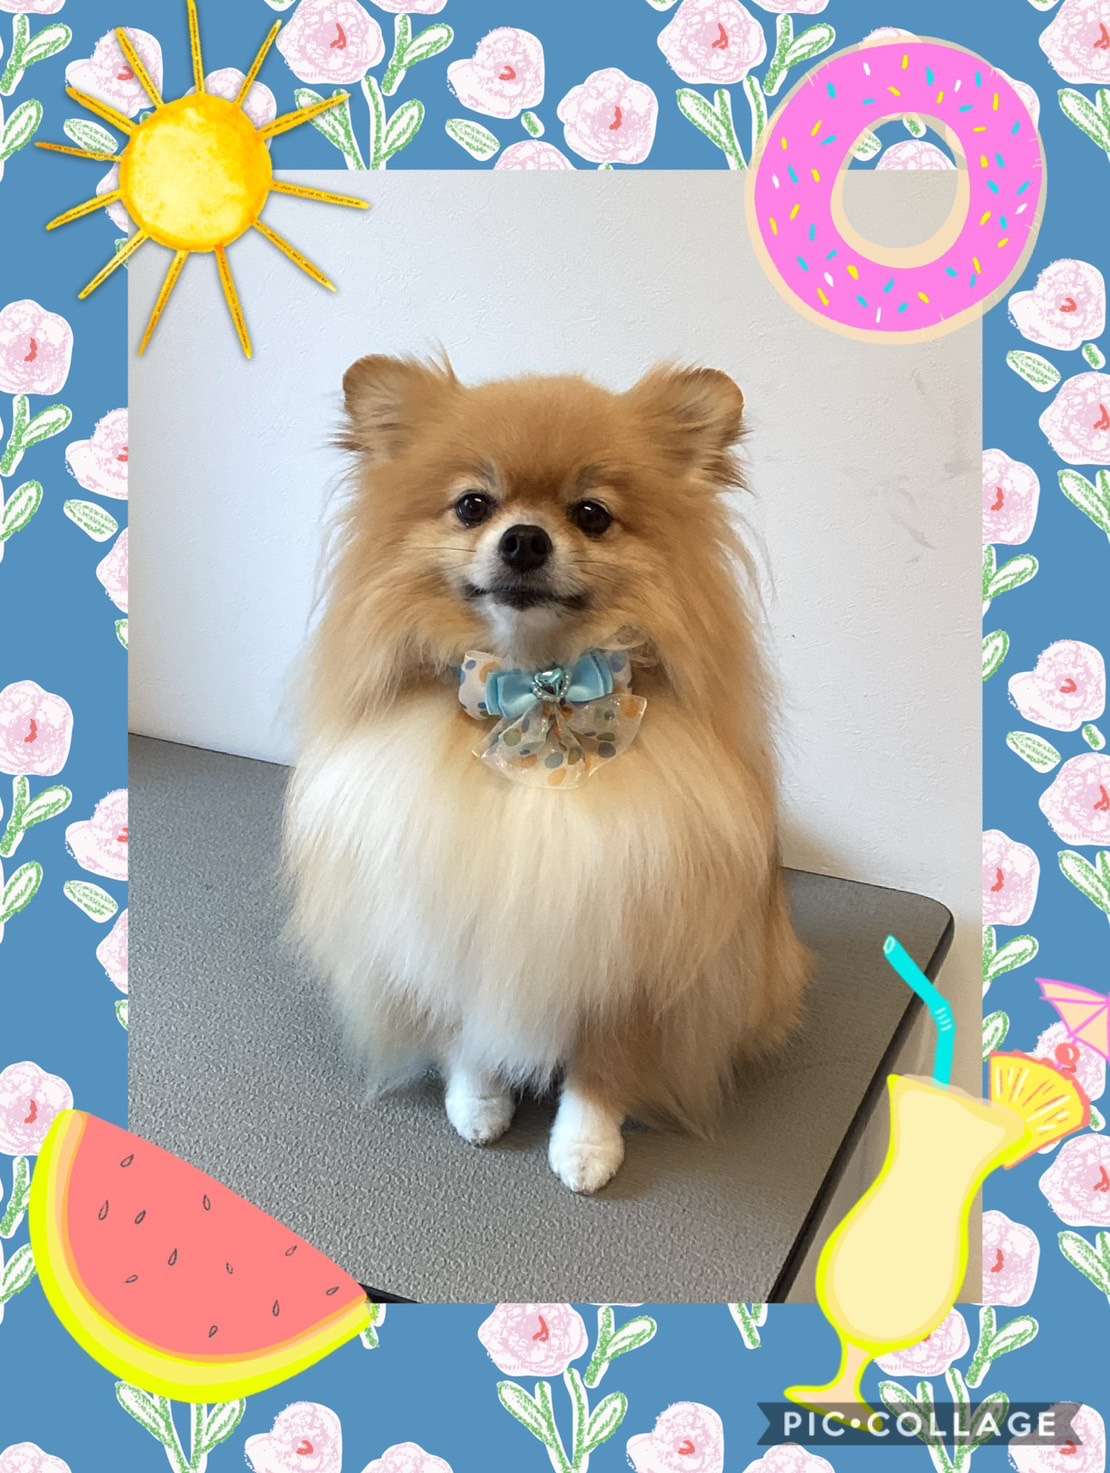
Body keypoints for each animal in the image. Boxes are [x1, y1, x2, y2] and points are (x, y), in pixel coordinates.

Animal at [283, 355, 810, 1193]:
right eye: (473, 504)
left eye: (592, 514)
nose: (525, 538)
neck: (536, 699)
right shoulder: (450, 920)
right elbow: (468, 1027)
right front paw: (479, 1100)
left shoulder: (628, 950)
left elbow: (603, 1063)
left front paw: (587, 1145)